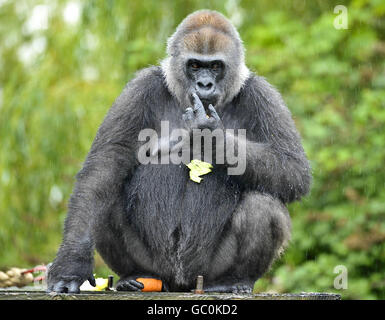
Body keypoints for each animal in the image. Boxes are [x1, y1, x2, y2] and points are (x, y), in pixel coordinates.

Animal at [47, 10, 312, 294]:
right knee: (106, 199)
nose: (204, 84)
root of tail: (181, 282)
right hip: (158, 268)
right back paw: (133, 274)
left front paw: (212, 139)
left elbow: (292, 168)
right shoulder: (140, 87)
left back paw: (235, 280)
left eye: (216, 66)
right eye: (194, 65)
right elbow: (104, 168)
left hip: (205, 272)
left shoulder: (263, 94)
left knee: (262, 205)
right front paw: (70, 265)